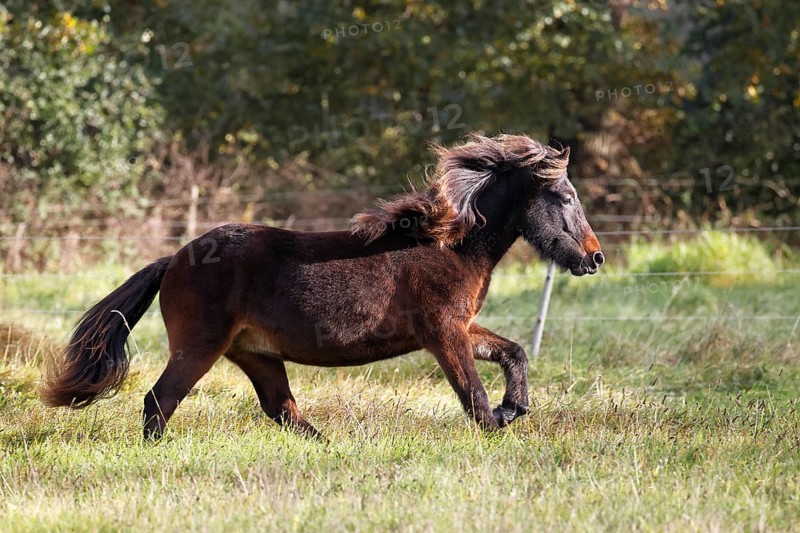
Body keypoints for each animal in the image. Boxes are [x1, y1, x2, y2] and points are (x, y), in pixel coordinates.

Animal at [41, 133, 604, 439]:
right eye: (563, 197)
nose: (594, 257)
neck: (450, 244)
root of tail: (175, 258)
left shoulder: (461, 328)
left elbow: (513, 353)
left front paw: (515, 409)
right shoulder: (444, 334)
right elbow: (473, 395)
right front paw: (499, 424)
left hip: (255, 353)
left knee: (282, 409)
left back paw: (333, 446)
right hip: (200, 347)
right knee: (160, 401)